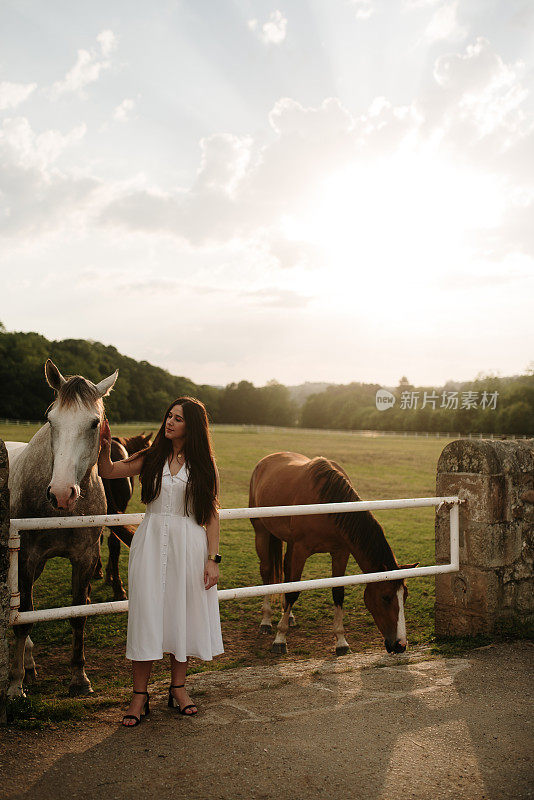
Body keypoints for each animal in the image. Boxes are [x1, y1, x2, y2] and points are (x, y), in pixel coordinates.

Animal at [7, 360, 118, 696]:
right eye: (51, 420)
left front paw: (79, 678)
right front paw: (15, 685)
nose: (60, 493)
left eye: (94, 423)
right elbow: (24, 618)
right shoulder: (26, 559)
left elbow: (78, 615)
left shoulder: (85, 558)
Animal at [249, 450, 420, 656]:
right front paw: (280, 638)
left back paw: (288, 616)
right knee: (267, 572)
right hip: (262, 532)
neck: (327, 505)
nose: (400, 644)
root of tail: (266, 460)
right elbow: (293, 592)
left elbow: (337, 592)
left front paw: (341, 641)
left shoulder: (341, 552)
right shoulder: (300, 550)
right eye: (385, 597)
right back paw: (266, 621)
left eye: (405, 596)